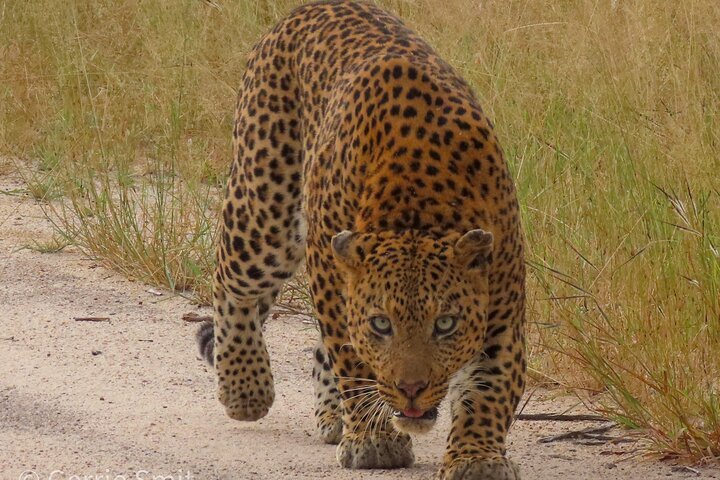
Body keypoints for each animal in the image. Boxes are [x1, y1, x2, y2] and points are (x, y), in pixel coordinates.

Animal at [195, 1, 526, 478]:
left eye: (446, 324)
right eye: (381, 325)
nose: (412, 390)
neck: (416, 210)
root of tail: (308, 8)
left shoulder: (502, 306)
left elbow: (491, 385)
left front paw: (476, 459)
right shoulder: (331, 274)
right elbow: (352, 358)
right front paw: (374, 441)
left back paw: (332, 416)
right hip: (265, 207)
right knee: (229, 282)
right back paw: (245, 389)